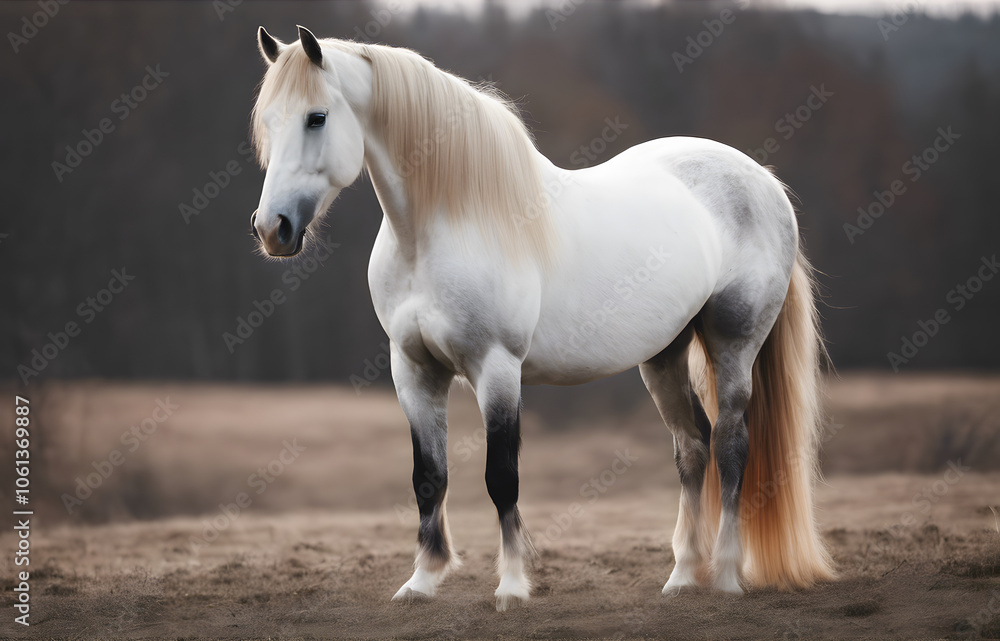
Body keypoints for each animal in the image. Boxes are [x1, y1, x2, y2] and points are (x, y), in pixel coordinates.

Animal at [249, 25, 835, 611]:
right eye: (268, 121)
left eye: (317, 117)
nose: (272, 228)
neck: (444, 227)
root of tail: (763, 181)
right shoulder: (413, 369)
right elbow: (428, 476)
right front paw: (422, 581)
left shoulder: (497, 369)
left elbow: (501, 477)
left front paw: (511, 586)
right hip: (663, 355)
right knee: (693, 447)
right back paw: (683, 576)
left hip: (733, 344)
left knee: (732, 447)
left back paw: (729, 575)